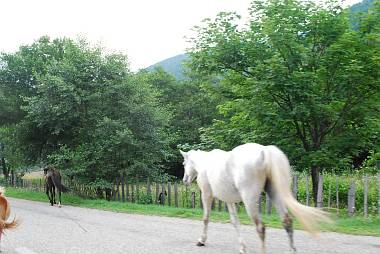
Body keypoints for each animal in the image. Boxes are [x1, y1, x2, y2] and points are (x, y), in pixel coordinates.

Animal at [180, 144, 328, 253]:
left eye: (184, 163)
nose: (185, 180)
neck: (205, 163)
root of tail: (265, 151)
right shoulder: (229, 201)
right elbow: (235, 222)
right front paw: (242, 247)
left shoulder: (206, 194)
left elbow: (206, 218)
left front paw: (201, 240)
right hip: (275, 194)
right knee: (287, 221)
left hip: (249, 201)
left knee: (261, 227)